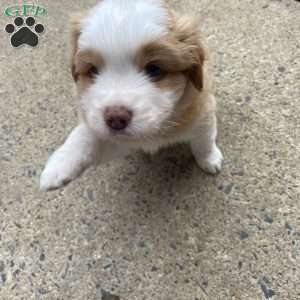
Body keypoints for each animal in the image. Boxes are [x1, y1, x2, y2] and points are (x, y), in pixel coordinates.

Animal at [39, 0, 223, 191]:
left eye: (154, 69)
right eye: (93, 71)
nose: (115, 118)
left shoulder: (203, 114)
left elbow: (204, 141)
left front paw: (209, 159)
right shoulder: (114, 140)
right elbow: (85, 134)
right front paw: (60, 165)